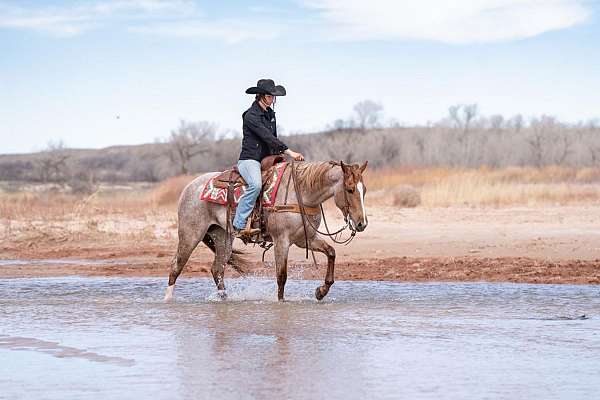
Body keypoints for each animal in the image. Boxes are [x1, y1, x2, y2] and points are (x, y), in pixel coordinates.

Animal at [164, 159, 368, 300]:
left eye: (363, 190)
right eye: (350, 189)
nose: (362, 223)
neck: (301, 193)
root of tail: (189, 187)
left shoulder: (305, 239)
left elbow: (331, 252)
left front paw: (321, 291)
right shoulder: (282, 240)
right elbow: (281, 276)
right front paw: (281, 303)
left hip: (223, 237)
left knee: (217, 269)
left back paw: (225, 299)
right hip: (190, 234)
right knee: (176, 266)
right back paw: (167, 300)